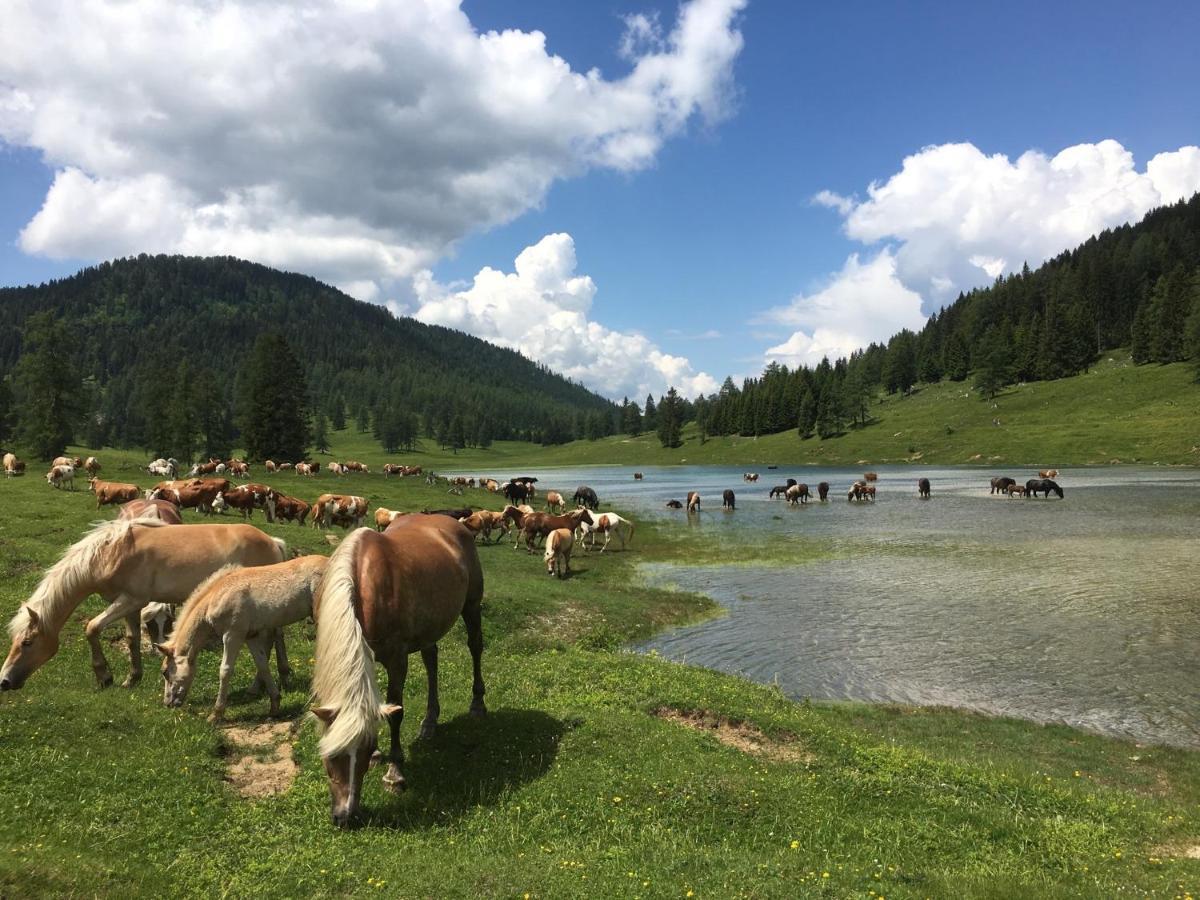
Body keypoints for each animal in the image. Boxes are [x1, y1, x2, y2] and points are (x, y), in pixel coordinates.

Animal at [1, 518, 286, 696]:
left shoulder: (130, 600)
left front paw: (104, 676)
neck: (112, 553)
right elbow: (132, 638)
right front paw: (132, 678)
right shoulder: (129, 605)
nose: (4, 681)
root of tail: (273, 541)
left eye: (27, 642)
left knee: (270, 640)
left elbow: (92, 627)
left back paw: (258, 685)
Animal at [162, 556, 328, 720]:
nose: (168, 703)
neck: (216, 597)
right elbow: (262, 665)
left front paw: (216, 714)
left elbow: (225, 670)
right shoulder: (251, 637)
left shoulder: (232, 635)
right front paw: (274, 705)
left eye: (165, 672)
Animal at [309, 513, 487, 830]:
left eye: (364, 753)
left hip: (472, 605)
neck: (362, 584)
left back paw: (478, 704)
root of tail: (456, 522)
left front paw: (394, 772)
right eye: (331, 754)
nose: (346, 816)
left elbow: (396, 711)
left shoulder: (396, 659)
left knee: (475, 646)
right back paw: (430, 721)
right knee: (431, 660)